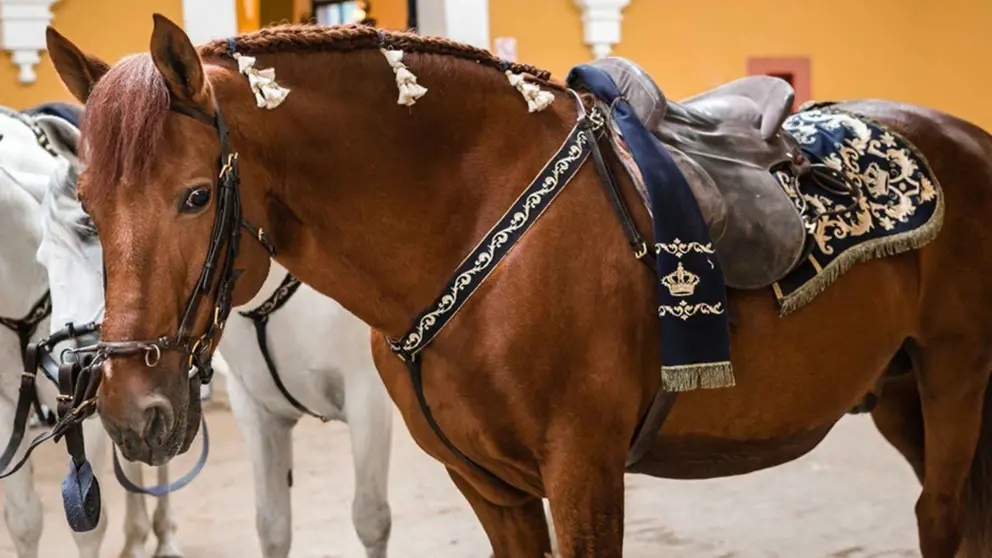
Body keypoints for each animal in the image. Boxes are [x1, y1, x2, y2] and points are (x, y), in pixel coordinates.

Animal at [36, 100, 394, 557]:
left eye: (85, 231)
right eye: (44, 256)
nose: (64, 358)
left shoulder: (369, 399)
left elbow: (371, 519)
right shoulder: (254, 409)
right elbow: (273, 527)